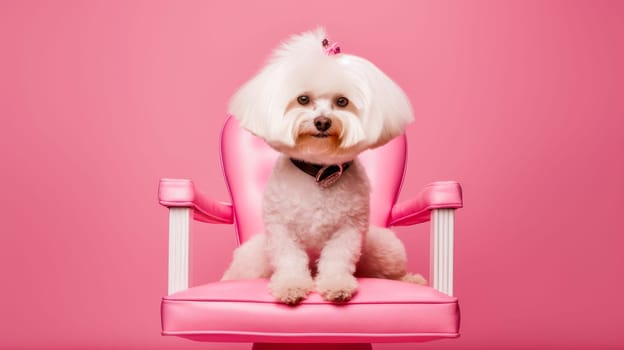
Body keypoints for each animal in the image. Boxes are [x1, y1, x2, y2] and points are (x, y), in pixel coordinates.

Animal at [221, 29, 424, 304]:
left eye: (342, 101)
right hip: (253, 257)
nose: (322, 122)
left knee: (390, 273)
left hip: (383, 247)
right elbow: (290, 260)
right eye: (303, 99)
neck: (318, 171)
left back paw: (412, 280)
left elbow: (337, 259)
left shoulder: (349, 229)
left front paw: (336, 285)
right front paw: (291, 286)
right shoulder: (282, 230)